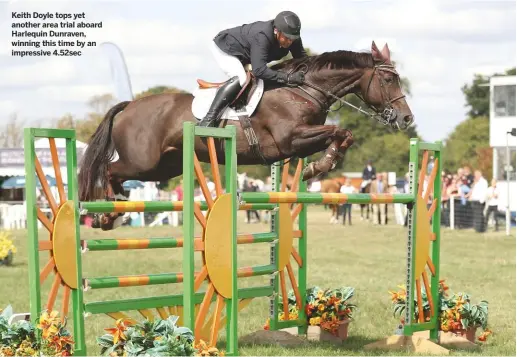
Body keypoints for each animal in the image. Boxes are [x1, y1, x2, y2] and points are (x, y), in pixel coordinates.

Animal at [78, 41, 414, 229]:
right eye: (388, 79)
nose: (407, 118)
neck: (303, 89)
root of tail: (129, 105)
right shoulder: (291, 139)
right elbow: (340, 130)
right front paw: (319, 167)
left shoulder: (298, 144)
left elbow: (343, 135)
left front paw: (319, 167)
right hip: (142, 162)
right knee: (108, 170)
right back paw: (104, 214)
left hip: (163, 167)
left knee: (119, 176)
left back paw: (111, 213)